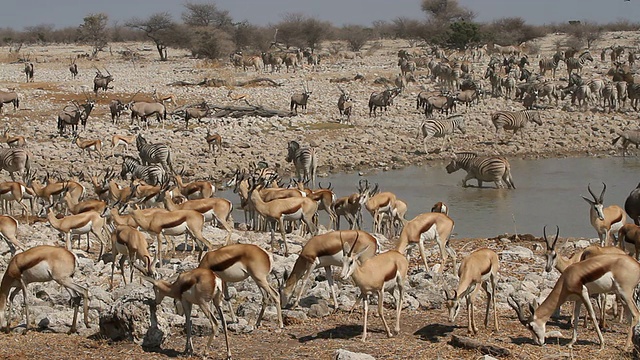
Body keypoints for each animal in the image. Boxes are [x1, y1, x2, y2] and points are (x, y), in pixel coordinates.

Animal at [510, 253, 640, 348]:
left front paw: (602, 344)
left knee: (636, 314)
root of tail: (636, 264)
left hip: (625, 293)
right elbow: (576, 317)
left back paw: (625, 347)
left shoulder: (584, 293)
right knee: (631, 316)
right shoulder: (578, 299)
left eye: (531, 326)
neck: (567, 278)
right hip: (624, 296)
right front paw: (571, 343)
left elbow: (592, 315)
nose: (538, 342)